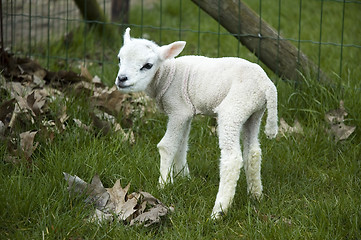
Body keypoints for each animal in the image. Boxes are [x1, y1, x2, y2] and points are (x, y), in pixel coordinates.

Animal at [114, 28, 278, 219]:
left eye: (147, 65)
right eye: (119, 59)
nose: (122, 79)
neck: (167, 74)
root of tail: (267, 85)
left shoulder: (178, 110)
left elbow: (167, 146)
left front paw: (164, 184)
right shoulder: (186, 113)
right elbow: (182, 144)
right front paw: (183, 176)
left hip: (233, 109)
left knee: (232, 158)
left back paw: (219, 210)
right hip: (254, 112)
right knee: (253, 152)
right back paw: (256, 195)